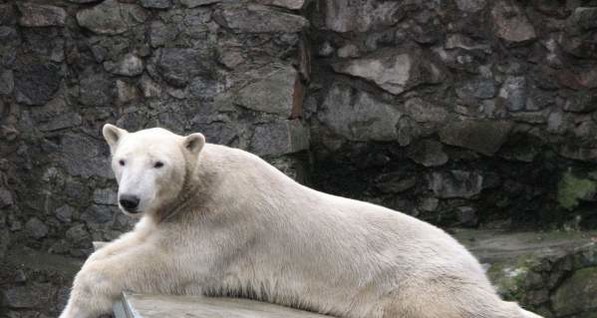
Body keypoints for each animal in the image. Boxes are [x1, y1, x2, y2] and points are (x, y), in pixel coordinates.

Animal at [59, 125, 540, 318]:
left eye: (159, 163)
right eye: (122, 160)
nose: (130, 199)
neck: (201, 182)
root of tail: (470, 257)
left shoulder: (223, 220)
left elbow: (168, 263)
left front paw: (75, 306)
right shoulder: (171, 214)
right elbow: (125, 245)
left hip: (414, 277)